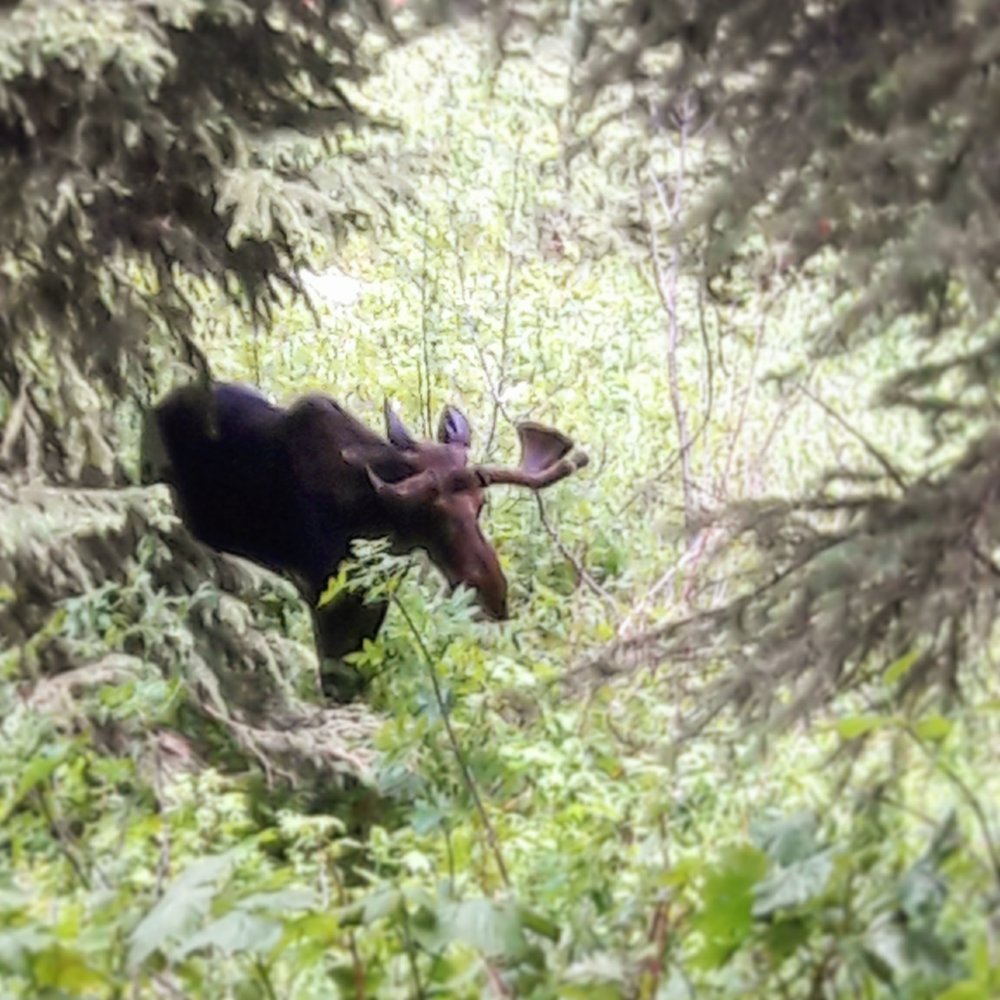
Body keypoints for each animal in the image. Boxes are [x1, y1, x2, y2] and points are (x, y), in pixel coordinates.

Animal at [145, 380, 588, 696]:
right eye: (430, 513)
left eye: (480, 504)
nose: (492, 592)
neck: (375, 518)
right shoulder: (322, 588)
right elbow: (335, 674)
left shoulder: (374, 593)